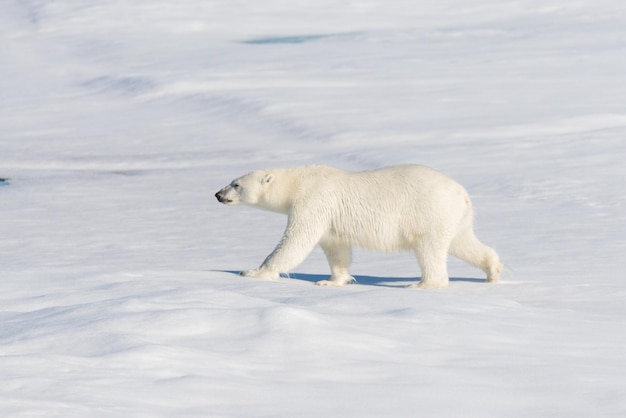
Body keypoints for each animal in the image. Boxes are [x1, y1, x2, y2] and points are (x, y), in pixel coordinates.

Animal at [216, 165, 502, 290]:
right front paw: (331, 280)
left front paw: (253, 272)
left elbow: (297, 240)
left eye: (236, 184)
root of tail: (462, 194)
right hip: (454, 217)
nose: (218, 194)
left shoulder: (313, 200)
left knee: (429, 248)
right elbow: (336, 248)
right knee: (463, 242)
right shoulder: (330, 219)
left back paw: (422, 284)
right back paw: (493, 270)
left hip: (428, 212)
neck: (297, 182)